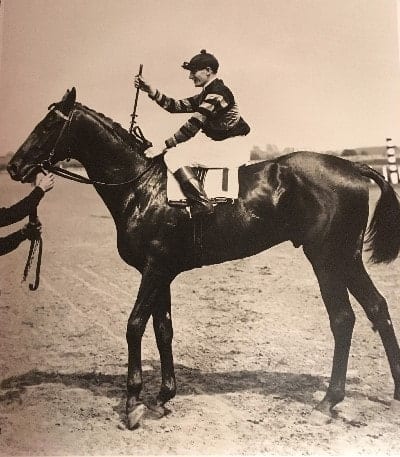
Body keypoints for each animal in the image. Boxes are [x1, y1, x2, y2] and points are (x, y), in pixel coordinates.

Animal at [7, 88, 400, 428]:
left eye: (49, 124)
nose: (14, 166)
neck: (142, 188)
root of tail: (353, 168)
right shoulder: (161, 272)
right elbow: (163, 329)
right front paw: (164, 396)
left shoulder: (153, 270)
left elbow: (135, 325)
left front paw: (133, 402)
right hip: (347, 259)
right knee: (377, 307)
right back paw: (394, 391)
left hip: (326, 260)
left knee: (343, 319)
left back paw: (328, 401)